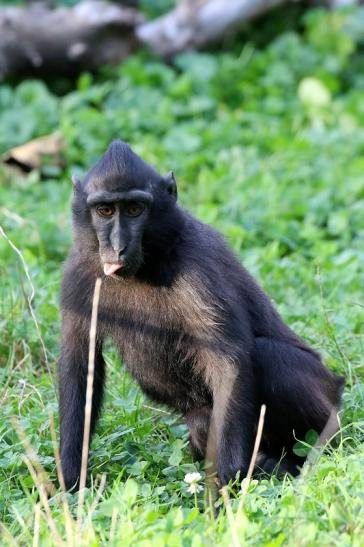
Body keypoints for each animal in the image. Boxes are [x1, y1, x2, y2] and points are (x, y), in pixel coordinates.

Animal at [59, 141, 344, 492]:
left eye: (135, 209)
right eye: (105, 211)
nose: (117, 248)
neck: (149, 263)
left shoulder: (198, 266)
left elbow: (228, 361)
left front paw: (228, 484)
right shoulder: (79, 270)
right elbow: (79, 363)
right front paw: (70, 482)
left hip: (324, 401)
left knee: (268, 357)